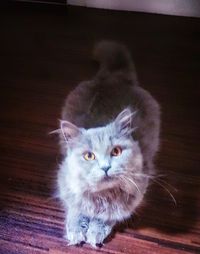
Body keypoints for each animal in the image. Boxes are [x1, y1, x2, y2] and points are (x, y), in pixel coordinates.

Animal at [56, 40, 161, 247]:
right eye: (89, 156)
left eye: (116, 152)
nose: (105, 167)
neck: (102, 195)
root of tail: (114, 77)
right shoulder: (67, 185)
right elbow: (75, 210)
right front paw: (76, 232)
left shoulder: (132, 196)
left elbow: (107, 216)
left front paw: (95, 232)